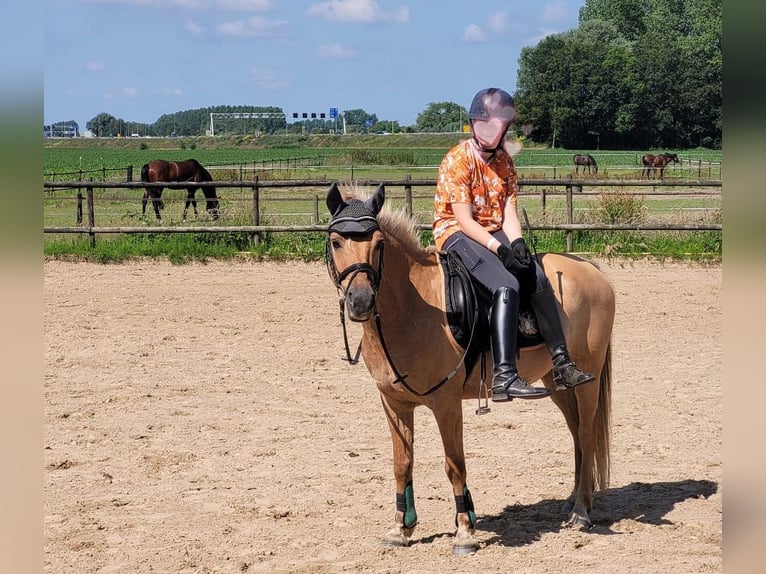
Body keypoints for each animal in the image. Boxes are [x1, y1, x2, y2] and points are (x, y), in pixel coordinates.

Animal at [324, 182, 616, 556]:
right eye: (336, 242)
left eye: (378, 243)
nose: (360, 302)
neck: (413, 309)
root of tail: (592, 269)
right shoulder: (394, 403)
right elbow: (402, 464)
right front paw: (401, 529)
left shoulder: (446, 403)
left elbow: (454, 465)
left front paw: (464, 531)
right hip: (556, 382)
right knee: (578, 433)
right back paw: (575, 499)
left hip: (586, 380)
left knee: (587, 434)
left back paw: (581, 511)